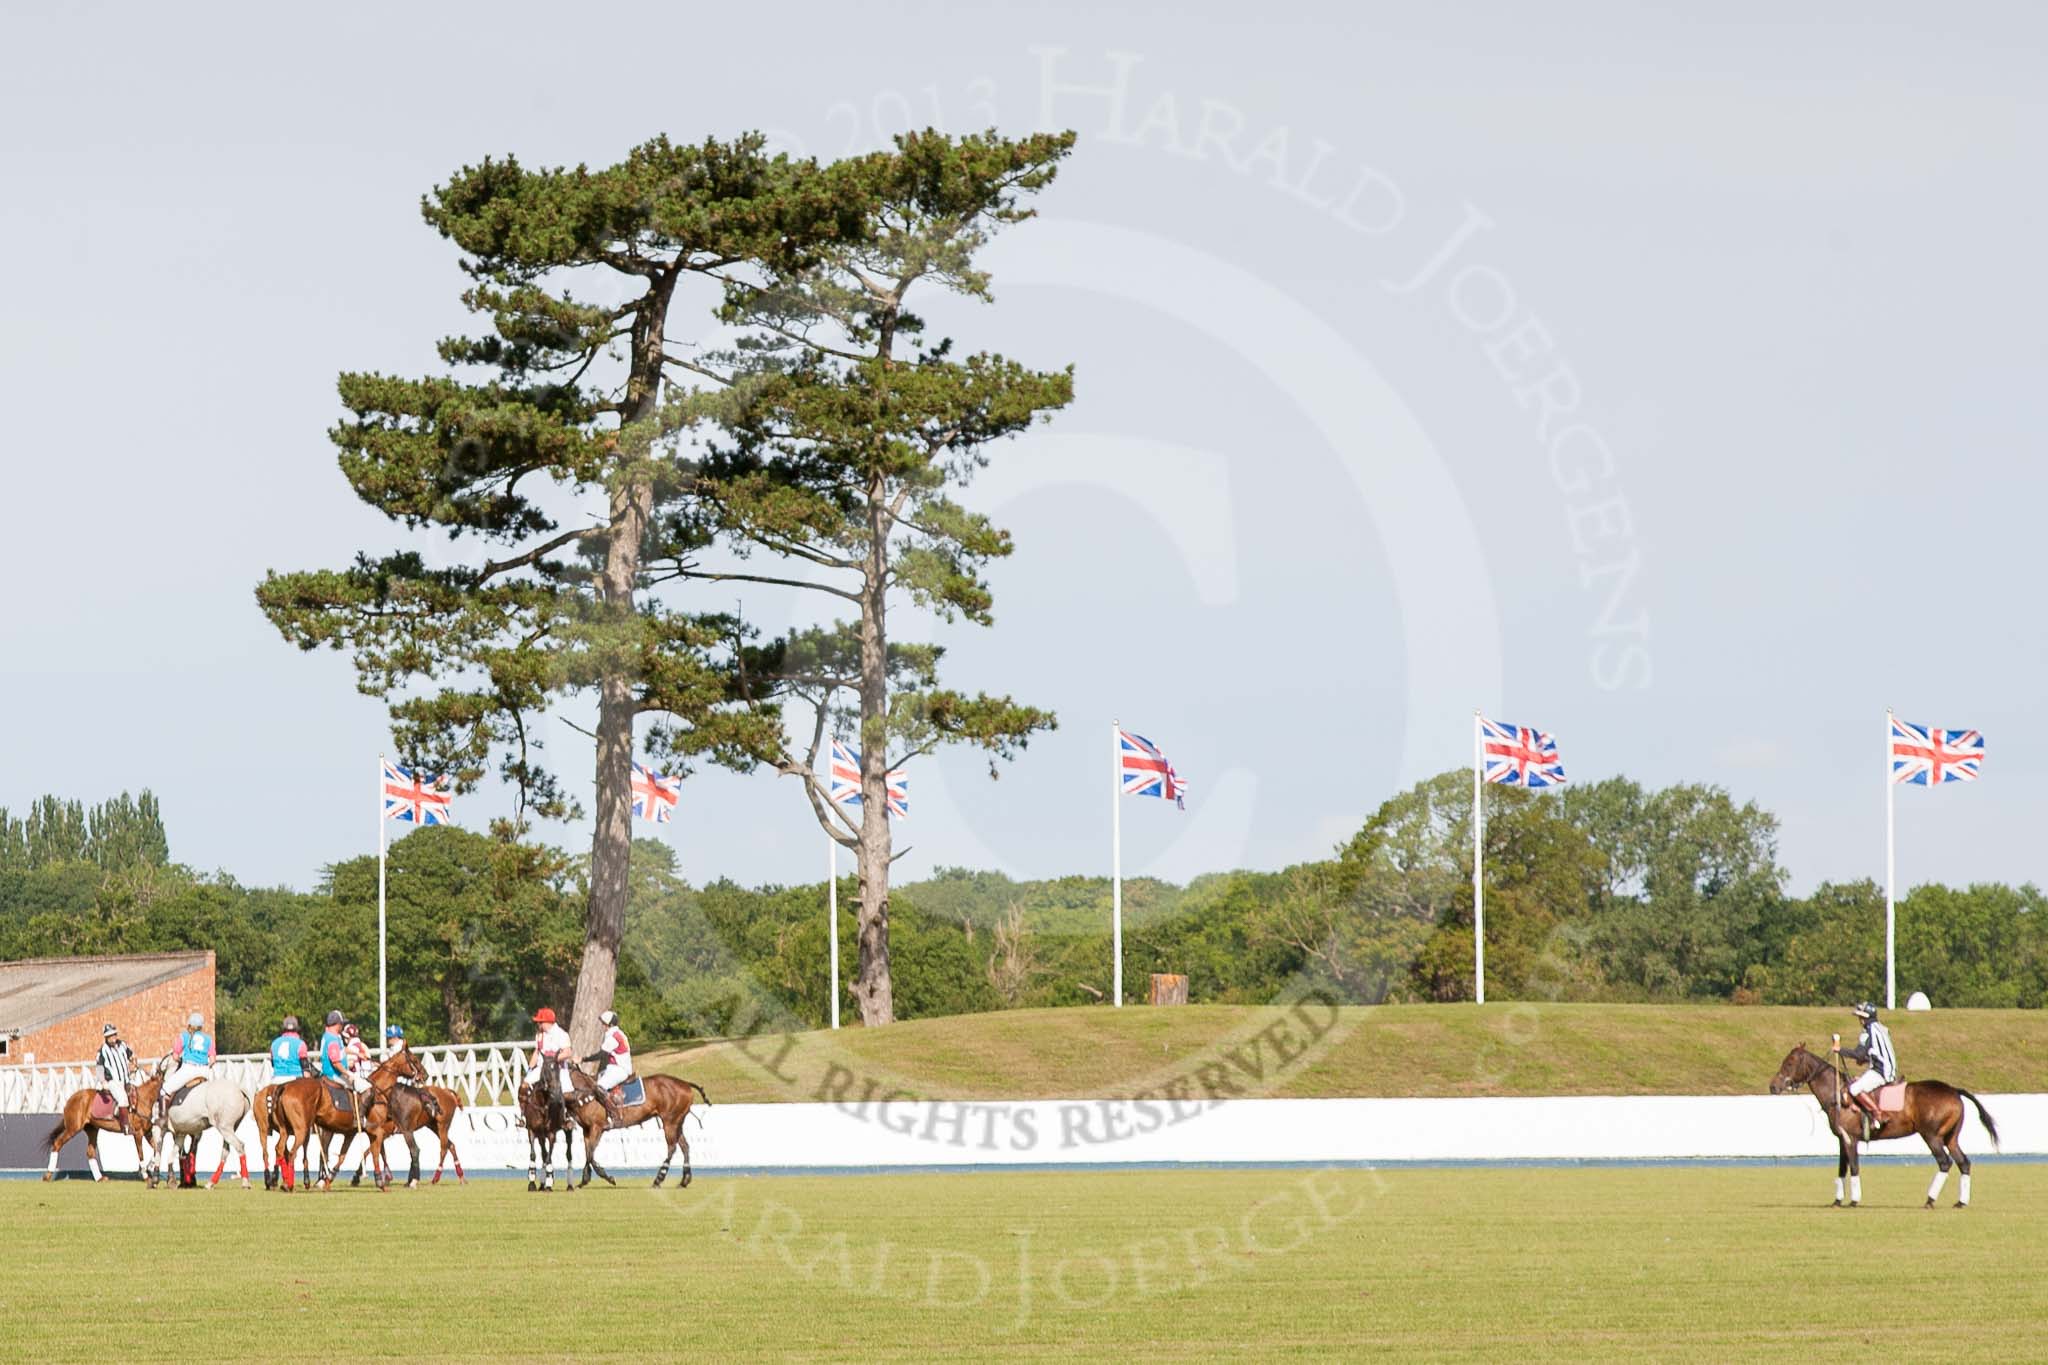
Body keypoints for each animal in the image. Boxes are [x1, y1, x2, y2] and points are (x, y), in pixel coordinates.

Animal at [144, 1055, 251, 1186]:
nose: (155, 1074)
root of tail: (240, 1091)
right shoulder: (181, 1133)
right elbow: (174, 1154)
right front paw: (172, 1180)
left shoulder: (158, 1128)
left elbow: (158, 1151)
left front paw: (155, 1179)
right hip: (231, 1127)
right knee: (225, 1151)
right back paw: (211, 1182)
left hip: (224, 1127)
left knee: (239, 1146)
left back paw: (245, 1182)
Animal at [565, 1064, 708, 1186]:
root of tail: (685, 1083)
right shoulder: (586, 1129)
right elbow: (588, 1153)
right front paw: (584, 1180)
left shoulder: (597, 1127)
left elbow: (590, 1154)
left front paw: (608, 1177)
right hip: (677, 1121)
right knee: (685, 1146)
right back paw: (685, 1180)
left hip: (670, 1122)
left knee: (672, 1147)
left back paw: (659, 1179)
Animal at [1761, 1047, 1998, 1203]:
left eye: (1789, 1063)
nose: (1773, 1086)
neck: (1836, 1094)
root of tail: (1954, 1091)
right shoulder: (1841, 1139)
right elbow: (1841, 1169)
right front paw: (1837, 1201)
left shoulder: (1851, 1139)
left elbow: (1854, 1167)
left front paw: (1854, 1200)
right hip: (1951, 1137)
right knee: (1964, 1162)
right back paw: (1961, 1202)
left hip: (1932, 1136)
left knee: (1945, 1162)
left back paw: (1930, 1199)